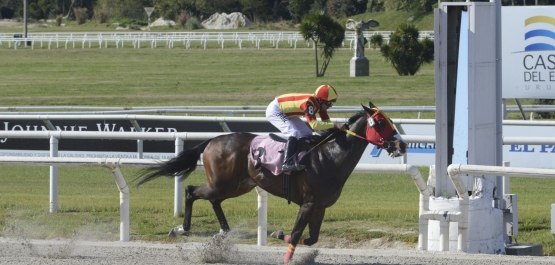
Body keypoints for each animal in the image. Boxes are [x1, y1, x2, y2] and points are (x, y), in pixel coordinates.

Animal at [136, 102, 408, 262]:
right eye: (381, 123)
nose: (402, 145)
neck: (330, 157)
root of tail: (212, 140)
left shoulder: (320, 207)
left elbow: (311, 238)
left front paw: (280, 234)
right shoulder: (308, 204)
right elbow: (297, 234)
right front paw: (283, 244)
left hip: (237, 185)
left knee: (214, 201)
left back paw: (223, 232)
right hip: (222, 183)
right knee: (192, 191)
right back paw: (181, 228)